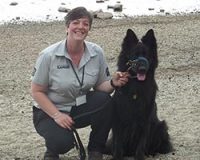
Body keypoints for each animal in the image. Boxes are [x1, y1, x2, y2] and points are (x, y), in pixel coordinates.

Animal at [109, 29, 172, 160]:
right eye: (135, 55)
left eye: (147, 55)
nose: (142, 69)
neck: (136, 87)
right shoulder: (118, 121)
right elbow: (118, 144)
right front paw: (117, 156)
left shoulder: (145, 121)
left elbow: (141, 144)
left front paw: (140, 156)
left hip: (160, 126)